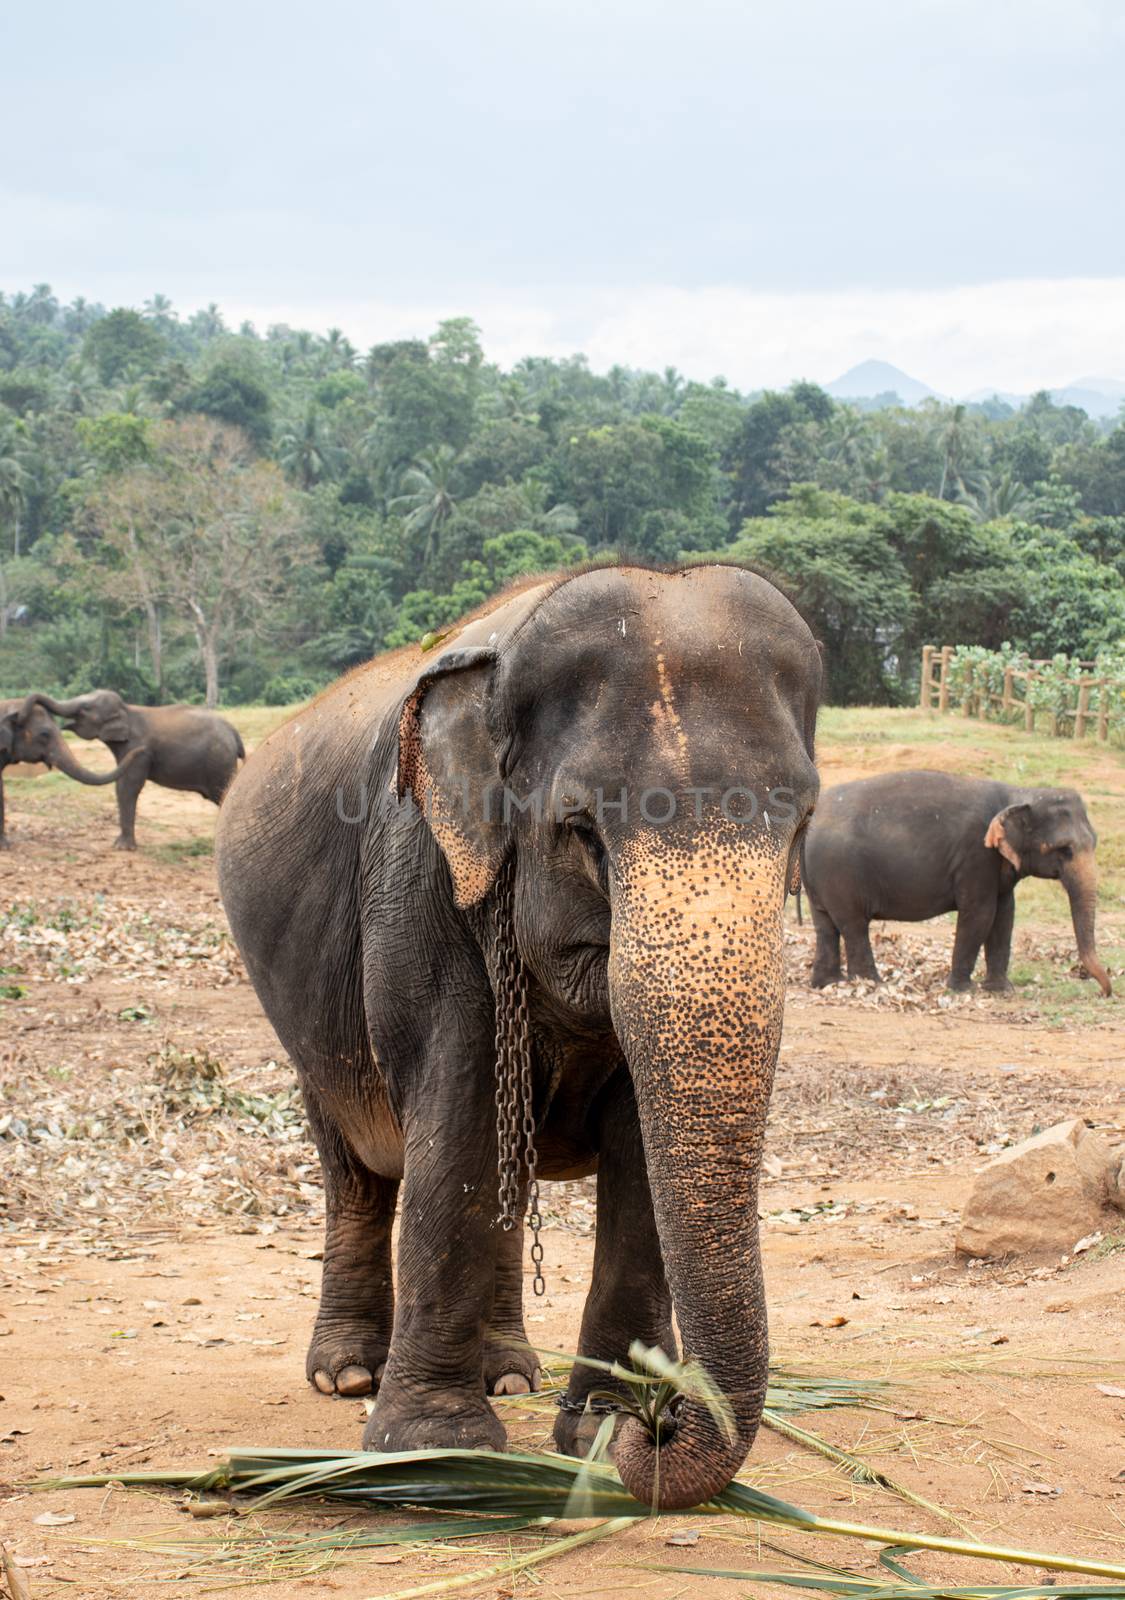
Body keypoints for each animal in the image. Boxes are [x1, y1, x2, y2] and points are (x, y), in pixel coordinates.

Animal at [19, 688, 244, 851]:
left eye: (85, 707)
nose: (20, 714)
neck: (127, 710)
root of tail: (234, 732)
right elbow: (121, 785)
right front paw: (119, 844)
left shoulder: (138, 749)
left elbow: (128, 786)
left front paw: (123, 848)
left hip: (219, 763)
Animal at [216, 566, 825, 1510]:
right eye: (581, 830)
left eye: (800, 823)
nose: (658, 1426)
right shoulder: (417, 874)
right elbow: (456, 1115)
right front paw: (431, 1453)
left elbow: (635, 1154)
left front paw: (599, 1431)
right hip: (300, 1022)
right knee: (356, 1171)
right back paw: (348, 1376)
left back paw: (510, 1374)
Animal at [806, 774, 1113, 998]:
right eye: (1064, 849)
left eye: (1095, 841)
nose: (1104, 993)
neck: (1020, 794)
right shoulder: (976, 856)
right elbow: (980, 914)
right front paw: (963, 989)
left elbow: (1005, 916)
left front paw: (1001, 990)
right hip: (840, 873)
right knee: (854, 924)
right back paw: (871, 985)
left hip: (822, 878)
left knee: (826, 925)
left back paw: (828, 983)